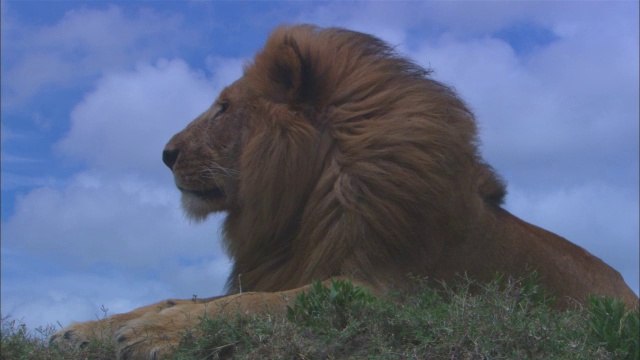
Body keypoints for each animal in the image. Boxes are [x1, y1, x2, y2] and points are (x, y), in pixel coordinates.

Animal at [48, 24, 636, 358]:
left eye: (224, 108)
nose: (165, 154)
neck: (307, 200)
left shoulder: (389, 291)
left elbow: (253, 307)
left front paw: (151, 335)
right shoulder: (291, 267)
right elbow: (187, 298)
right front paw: (88, 330)